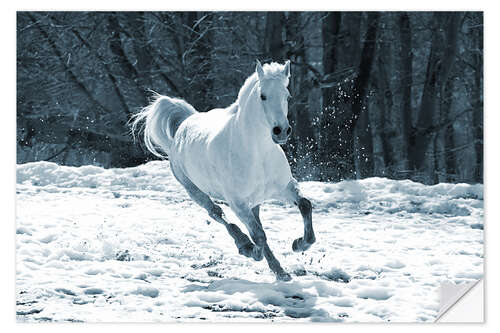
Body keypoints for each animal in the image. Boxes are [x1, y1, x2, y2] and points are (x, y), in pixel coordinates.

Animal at [131, 60, 314, 280]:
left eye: (287, 96)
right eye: (263, 96)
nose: (281, 131)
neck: (258, 154)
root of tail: (185, 124)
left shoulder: (284, 188)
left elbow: (304, 205)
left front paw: (299, 244)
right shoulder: (238, 203)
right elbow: (259, 236)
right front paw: (251, 251)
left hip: (255, 201)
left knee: (253, 222)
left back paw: (280, 271)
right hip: (195, 191)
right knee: (217, 213)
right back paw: (244, 245)